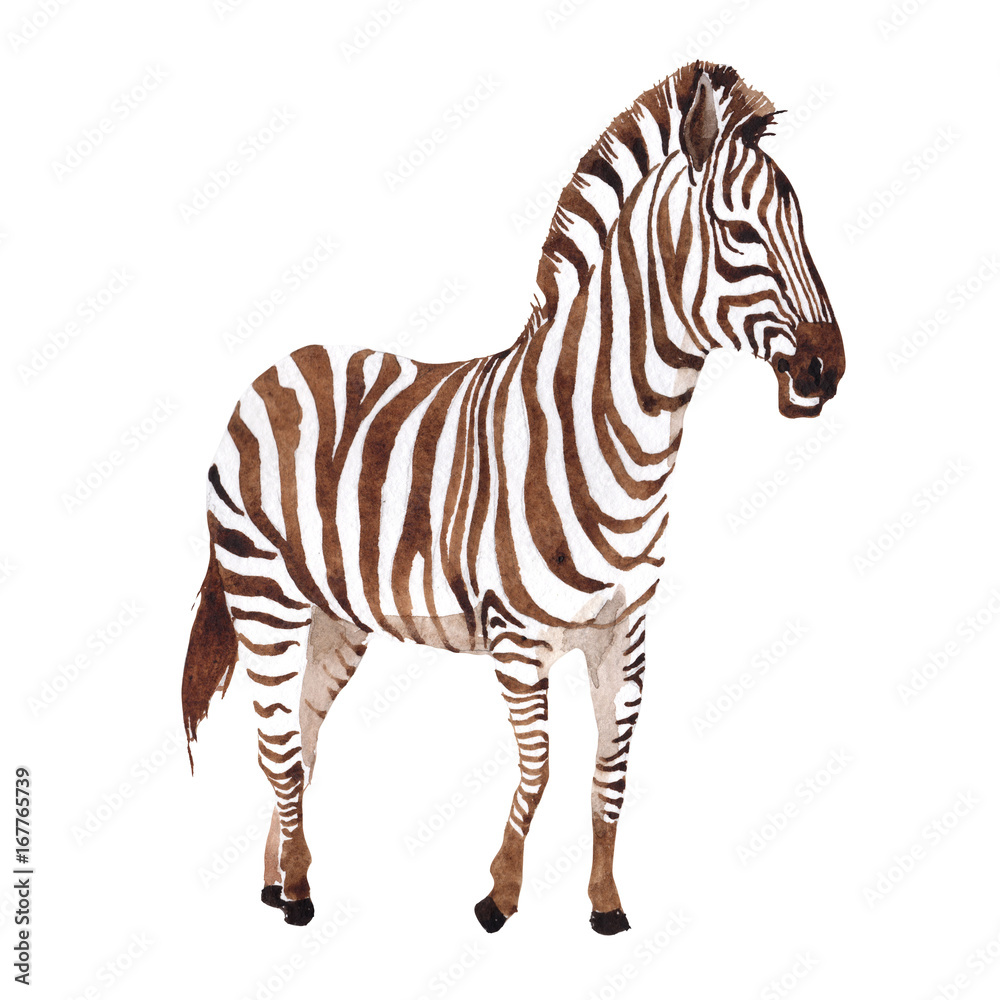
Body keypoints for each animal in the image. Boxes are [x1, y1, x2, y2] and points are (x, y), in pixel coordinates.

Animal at [182, 61, 844, 934]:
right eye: (740, 234)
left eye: (803, 228)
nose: (828, 370)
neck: (606, 434)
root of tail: (277, 367)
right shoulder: (518, 640)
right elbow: (541, 767)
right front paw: (499, 894)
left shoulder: (624, 635)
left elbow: (611, 771)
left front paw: (605, 905)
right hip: (264, 596)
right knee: (279, 748)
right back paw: (297, 898)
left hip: (336, 618)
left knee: (303, 737)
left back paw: (282, 877)